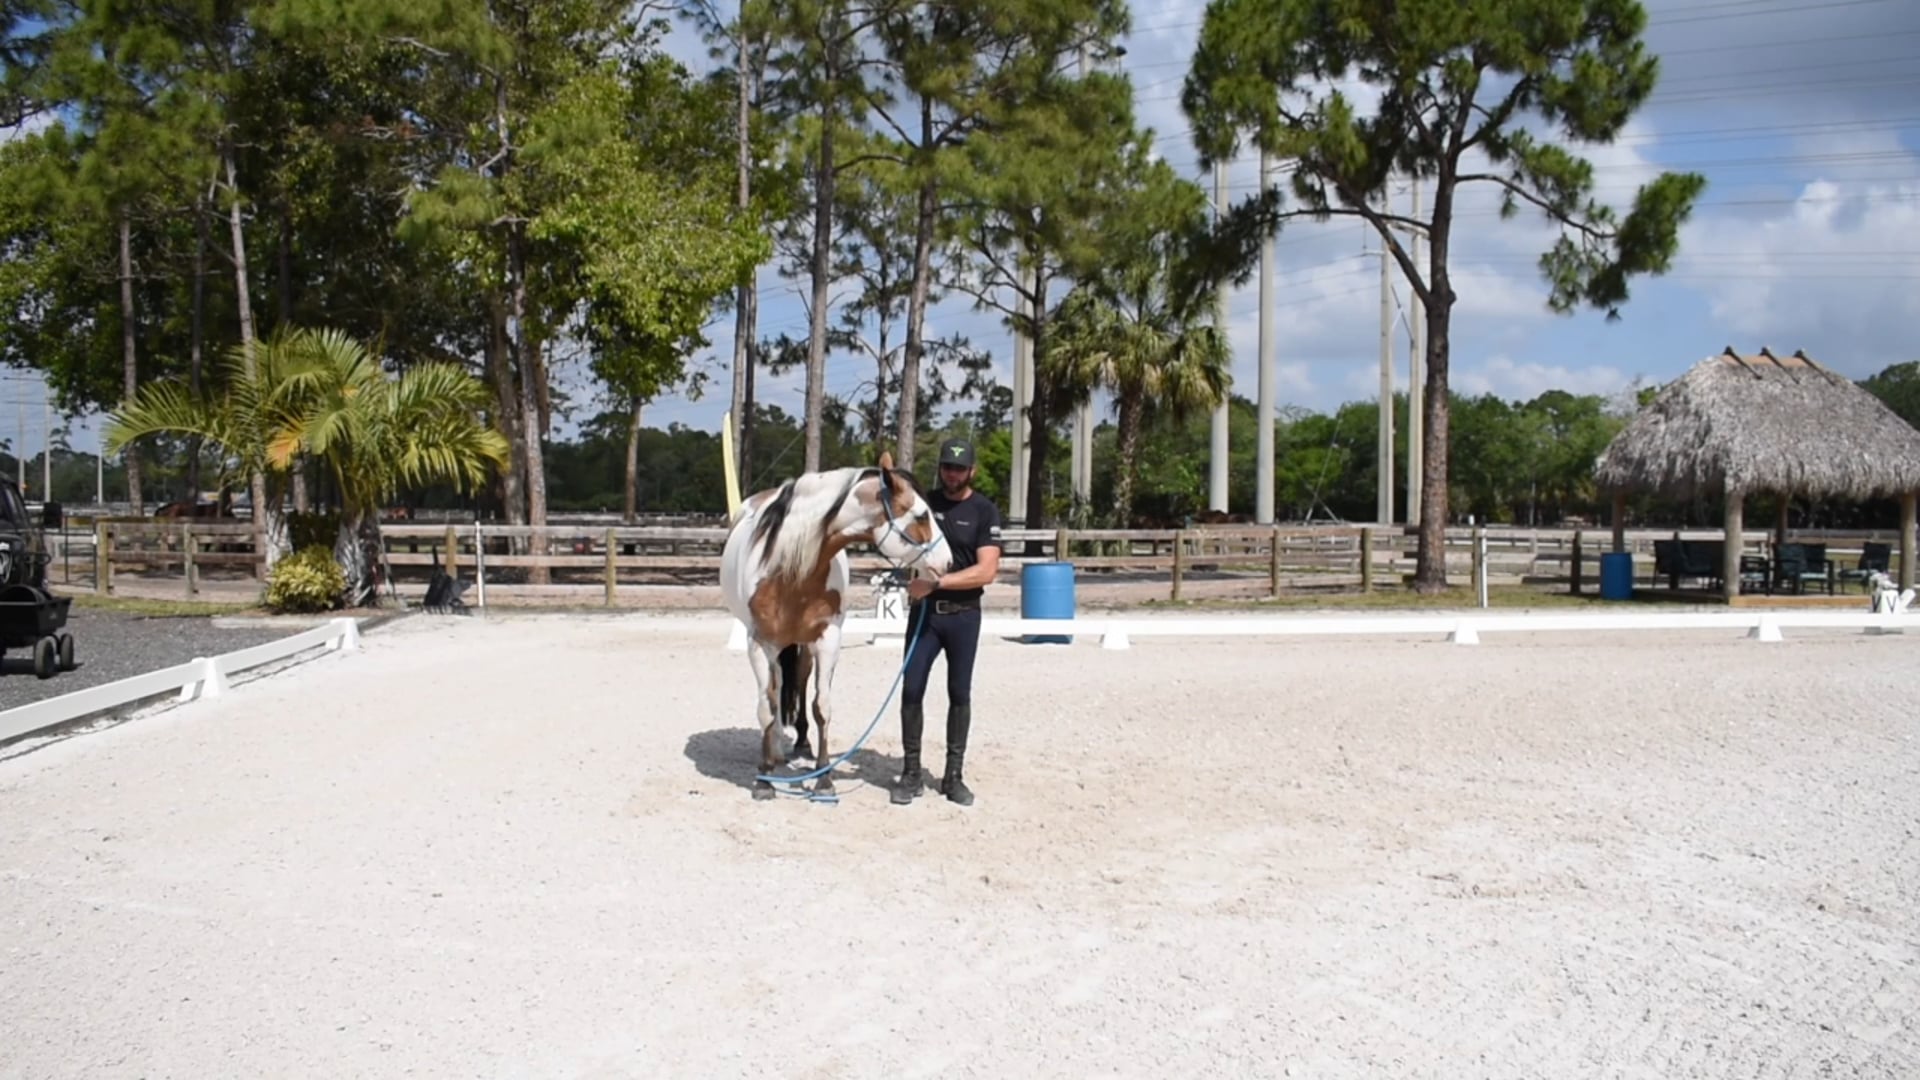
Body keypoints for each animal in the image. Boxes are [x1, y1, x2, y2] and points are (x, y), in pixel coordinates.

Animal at [719, 452, 953, 800]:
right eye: (922, 515)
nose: (948, 562)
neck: (790, 569)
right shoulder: (759, 644)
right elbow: (766, 707)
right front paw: (764, 779)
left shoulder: (828, 640)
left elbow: (821, 707)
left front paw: (824, 779)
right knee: (776, 689)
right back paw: (776, 751)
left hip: (802, 646)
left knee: (797, 681)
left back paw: (798, 744)